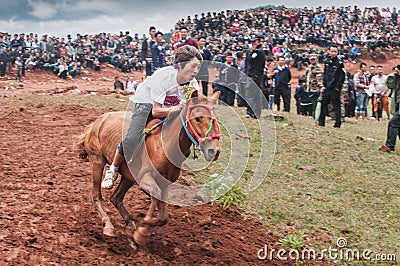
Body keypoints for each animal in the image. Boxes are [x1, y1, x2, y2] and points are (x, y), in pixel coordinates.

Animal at [77, 90, 222, 244]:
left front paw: (139, 221)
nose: (214, 151)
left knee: (116, 197)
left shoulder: (164, 183)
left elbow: (163, 216)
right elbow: (156, 196)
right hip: (97, 160)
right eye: (198, 118)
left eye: (215, 118)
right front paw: (141, 231)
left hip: (129, 177)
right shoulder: (145, 178)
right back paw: (108, 225)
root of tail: (97, 122)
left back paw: (130, 223)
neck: (164, 145)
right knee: (96, 196)